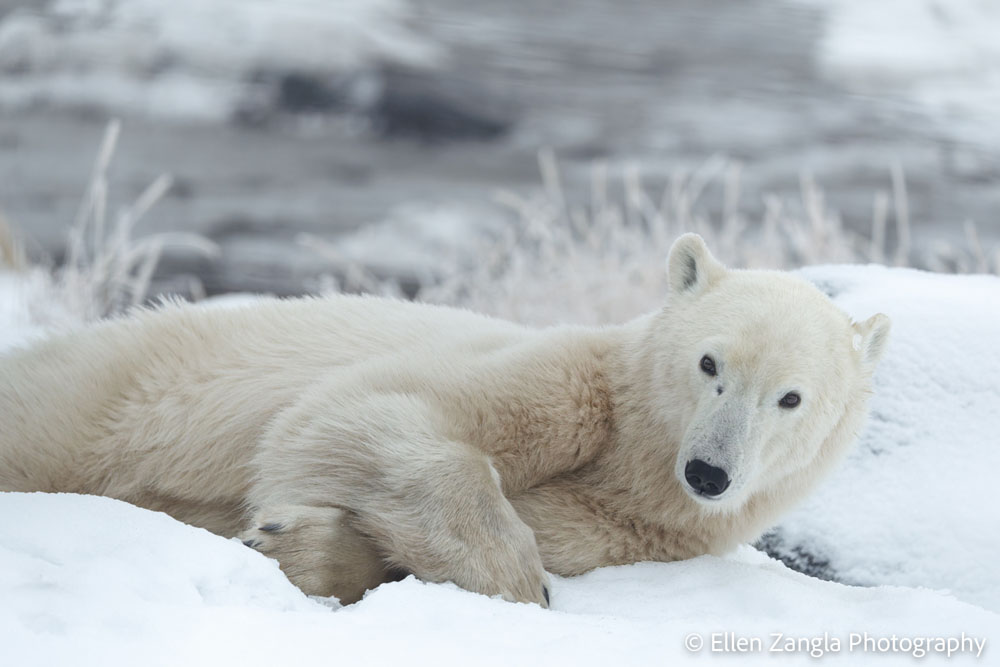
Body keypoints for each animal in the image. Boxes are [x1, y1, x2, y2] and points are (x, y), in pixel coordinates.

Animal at [0, 234, 892, 604]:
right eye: (709, 364)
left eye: (790, 397)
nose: (709, 471)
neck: (640, 458)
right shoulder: (575, 384)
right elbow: (362, 411)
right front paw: (519, 579)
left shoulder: (642, 530)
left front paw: (301, 545)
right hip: (114, 389)